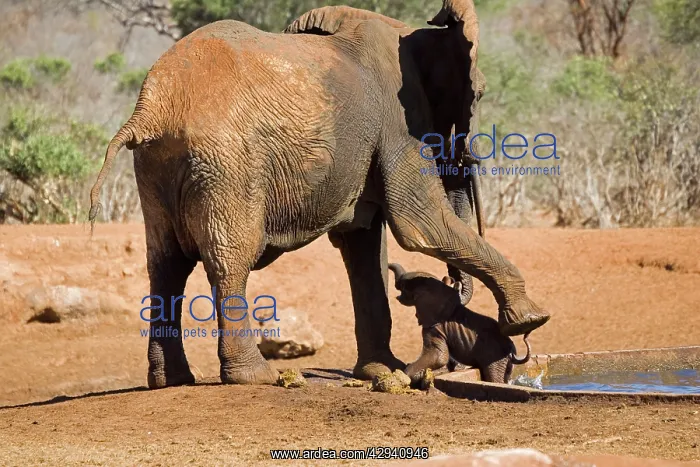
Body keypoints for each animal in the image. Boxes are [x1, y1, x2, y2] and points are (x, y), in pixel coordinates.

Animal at [388, 263, 531, 384]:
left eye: (404, 286)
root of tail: (512, 351)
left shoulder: (435, 328)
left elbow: (438, 356)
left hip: (495, 357)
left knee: (494, 377)